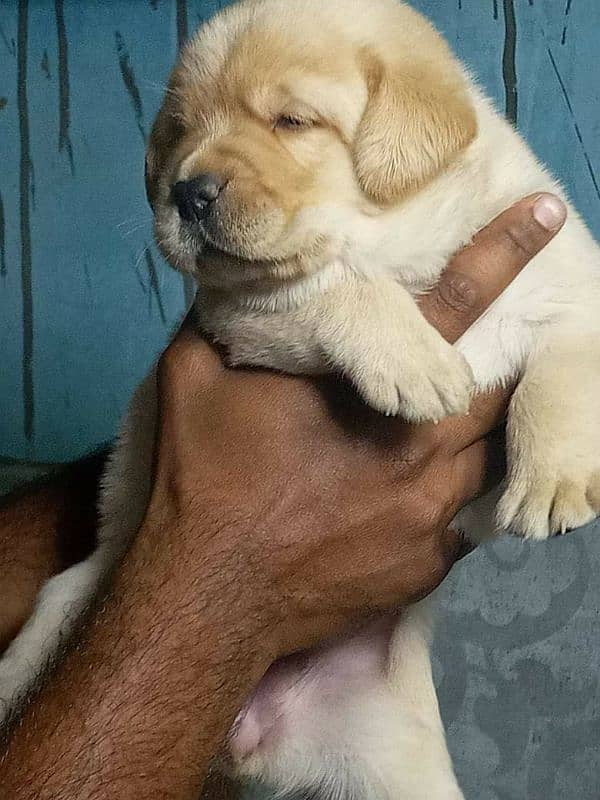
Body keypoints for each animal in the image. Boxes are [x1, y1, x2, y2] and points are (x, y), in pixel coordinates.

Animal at [3, 1, 600, 800]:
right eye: (179, 133)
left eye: (292, 121)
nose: (186, 192)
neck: (404, 248)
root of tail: (245, 745)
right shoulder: (238, 309)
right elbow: (327, 285)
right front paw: (417, 362)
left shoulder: (566, 279)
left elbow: (561, 373)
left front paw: (553, 484)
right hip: (54, 618)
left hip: (399, 764)